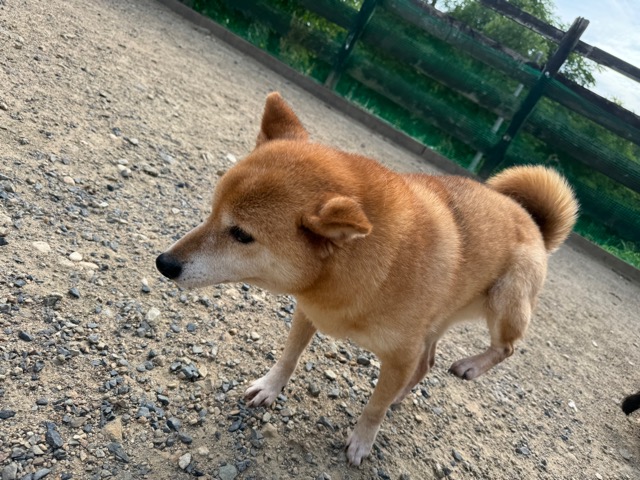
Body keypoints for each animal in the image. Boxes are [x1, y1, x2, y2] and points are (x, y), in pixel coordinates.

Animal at [156, 93, 578, 465]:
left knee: (505, 347)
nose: (164, 263)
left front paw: (361, 441)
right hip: (437, 321)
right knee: (427, 363)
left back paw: (470, 366)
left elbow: (373, 408)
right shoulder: (309, 312)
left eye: (242, 235)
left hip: (504, 302)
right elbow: (289, 356)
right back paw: (404, 394)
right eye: (212, 212)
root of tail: (533, 222)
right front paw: (270, 387)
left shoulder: (399, 354)